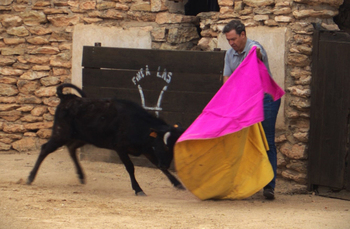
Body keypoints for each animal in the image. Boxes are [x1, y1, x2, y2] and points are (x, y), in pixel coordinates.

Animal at [26, 83, 186, 196]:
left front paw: (177, 184)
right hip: (61, 134)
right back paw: (30, 178)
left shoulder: (146, 149)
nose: (166, 164)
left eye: (173, 148)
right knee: (45, 149)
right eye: (165, 146)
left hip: (83, 137)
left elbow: (157, 165)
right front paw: (138, 189)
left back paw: (81, 176)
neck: (136, 124)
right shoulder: (120, 148)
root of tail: (67, 98)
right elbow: (130, 167)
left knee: (71, 148)